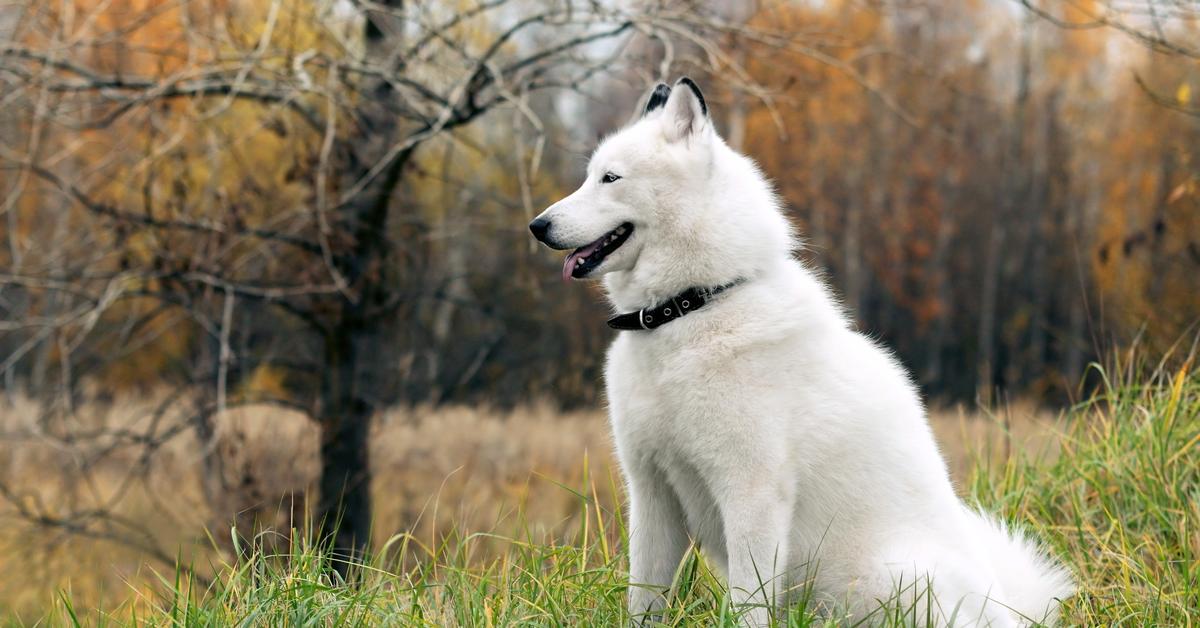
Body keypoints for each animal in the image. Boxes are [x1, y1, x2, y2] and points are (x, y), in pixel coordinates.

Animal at [530, 77, 1075, 624]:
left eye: (610, 178)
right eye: (589, 176)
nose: (538, 226)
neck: (691, 308)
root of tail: (1009, 611)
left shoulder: (750, 493)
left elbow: (748, 604)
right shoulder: (651, 493)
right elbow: (644, 599)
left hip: (890, 578)